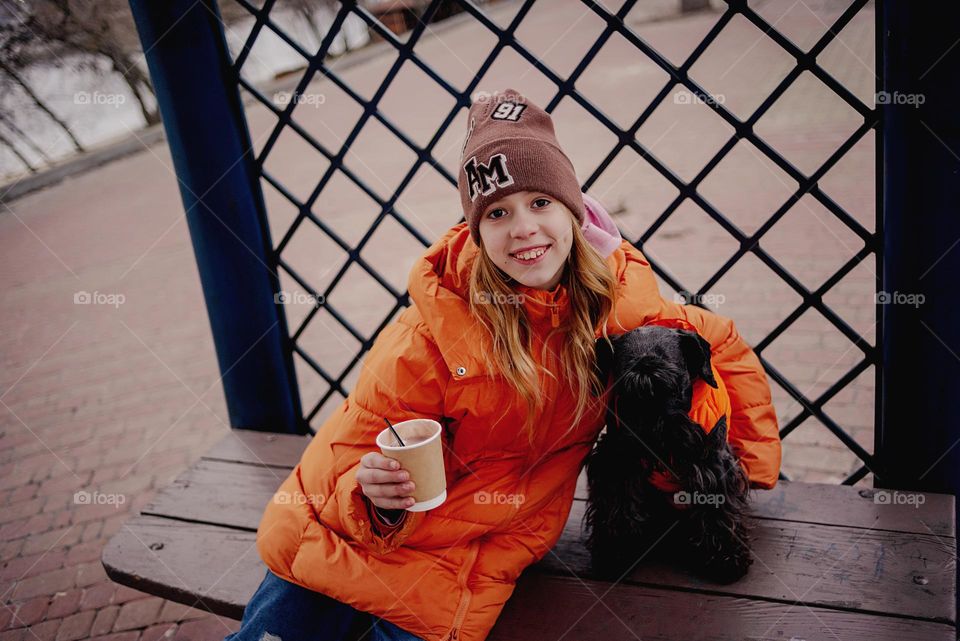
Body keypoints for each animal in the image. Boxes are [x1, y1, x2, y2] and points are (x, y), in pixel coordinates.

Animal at [580, 328, 752, 584]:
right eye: (625, 389)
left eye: (672, 384)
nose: (650, 439)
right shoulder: (617, 463)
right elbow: (618, 506)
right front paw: (614, 554)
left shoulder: (713, 465)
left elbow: (717, 508)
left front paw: (727, 560)